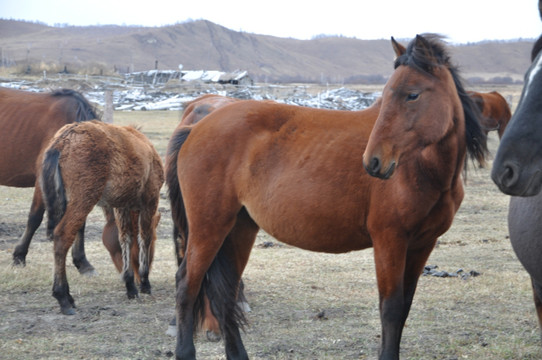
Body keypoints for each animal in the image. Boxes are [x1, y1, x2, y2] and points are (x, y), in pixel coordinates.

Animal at [168, 34, 486, 360]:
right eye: (387, 95)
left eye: (412, 95)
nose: (373, 161)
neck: (422, 170)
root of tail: (196, 126)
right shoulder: (390, 241)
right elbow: (391, 309)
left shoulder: (423, 243)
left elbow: (404, 308)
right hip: (209, 228)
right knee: (187, 286)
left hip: (239, 229)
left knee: (226, 294)